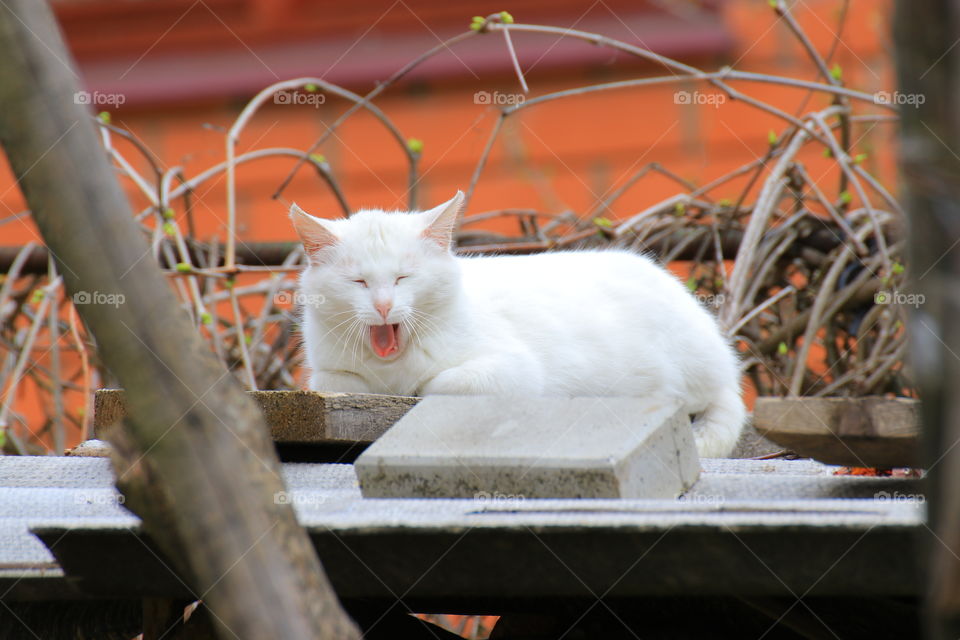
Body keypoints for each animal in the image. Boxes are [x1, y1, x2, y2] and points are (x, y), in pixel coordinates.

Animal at [288, 192, 748, 458]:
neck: (393, 365)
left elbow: (441, 384)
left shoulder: (515, 371)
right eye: (359, 282)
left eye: (404, 277)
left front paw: (419, 388)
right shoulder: (328, 374)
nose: (384, 306)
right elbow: (339, 381)